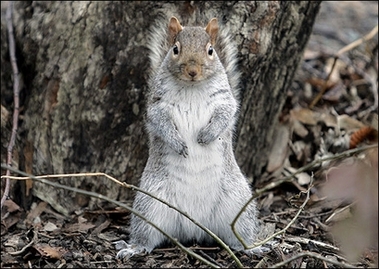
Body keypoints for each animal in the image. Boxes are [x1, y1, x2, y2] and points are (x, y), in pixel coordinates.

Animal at [114, 15, 260, 258]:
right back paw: (134, 248)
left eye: (210, 50)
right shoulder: (158, 104)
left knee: (239, 234)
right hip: (150, 203)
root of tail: (194, 226)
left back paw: (252, 247)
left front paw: (207, 135)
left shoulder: (224, 100)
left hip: (237, 203)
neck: (192, 87)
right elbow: (160, 121)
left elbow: (226, 113)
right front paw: (178, 143)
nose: (192, 70)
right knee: (146, 234)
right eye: (175, 49)